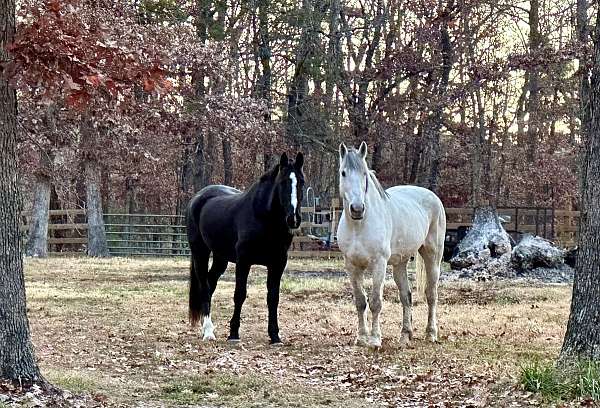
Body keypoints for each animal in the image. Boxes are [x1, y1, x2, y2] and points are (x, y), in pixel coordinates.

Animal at [186, 152, 304, 344]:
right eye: (282, 182)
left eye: (301, 182)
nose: (293, 219)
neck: (262, 216)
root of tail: (198, 198)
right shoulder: (244, 261)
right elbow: (239, 294)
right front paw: (233, 334)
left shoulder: (278, 263)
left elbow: (273, 297)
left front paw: (275, 336)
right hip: (200, 253)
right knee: (204, 286)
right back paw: (209, 332)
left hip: (220, 258)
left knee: (210, 284)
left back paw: (207, 328)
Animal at [338, 142, 446, 350]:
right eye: (343, 173)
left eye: (364, 173)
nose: (357, 209)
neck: (359, 226)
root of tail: (433, 197)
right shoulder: (352, 266)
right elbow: (360, 302)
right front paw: (361, 338)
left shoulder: (379, 264)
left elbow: (375, 302)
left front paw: (374, 340)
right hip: (399, 264)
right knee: (406, 296)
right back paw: (405, 335)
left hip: (432, 257)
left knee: (431, 294)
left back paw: (431, 333)